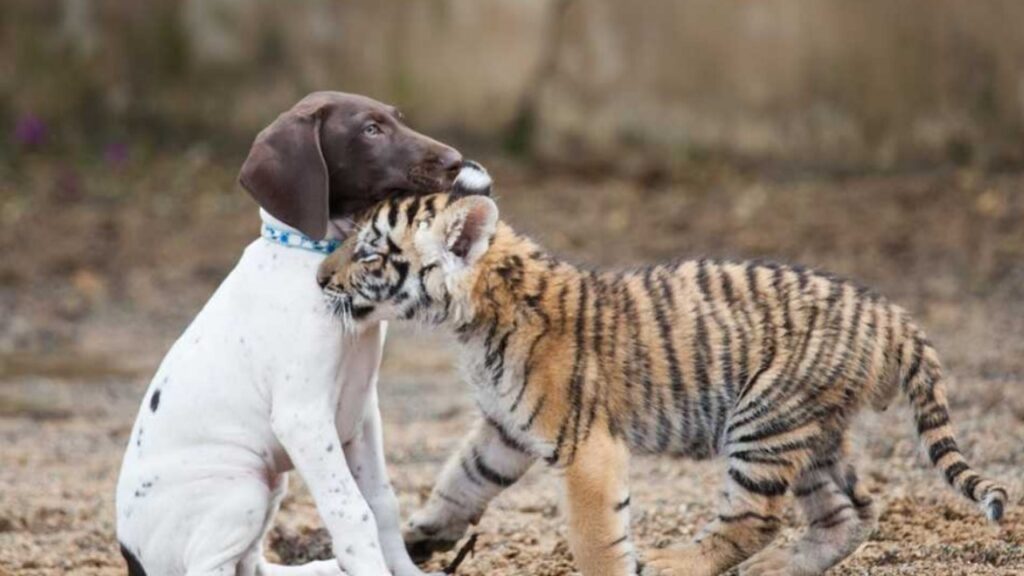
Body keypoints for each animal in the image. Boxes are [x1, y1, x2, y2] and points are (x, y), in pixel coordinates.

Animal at [115, 90, 460, 573]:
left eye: (398, 118)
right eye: (370, 130)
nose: (456, 161)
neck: (315, 257)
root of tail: (132, 557)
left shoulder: (362, 413)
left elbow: (382, 502)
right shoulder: (304, 420)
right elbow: (352, 511)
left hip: (270, 484)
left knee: (253, 564)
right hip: (243, 488)